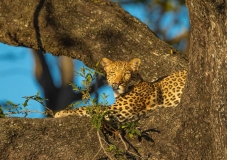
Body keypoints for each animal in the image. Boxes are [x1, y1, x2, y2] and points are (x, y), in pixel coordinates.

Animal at [54, 57, 187, 121]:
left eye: (126, 73)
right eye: (113, 73)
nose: (117, 83)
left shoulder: (118, 110)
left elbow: (89, 108)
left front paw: (61, 113)